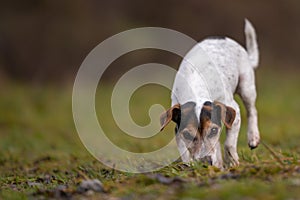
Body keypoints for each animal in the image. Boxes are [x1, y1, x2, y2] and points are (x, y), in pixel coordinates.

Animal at [159, 19, 260, 168]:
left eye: (213, 131)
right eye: (187, 135)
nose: (206, 162)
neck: (196, 87)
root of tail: (221, 37)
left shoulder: (234, 114)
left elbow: (229, 144)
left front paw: (232, 162)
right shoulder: (178, 131)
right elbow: (185, 152)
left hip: (247, 86)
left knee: (252, 110)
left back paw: (253, 136)